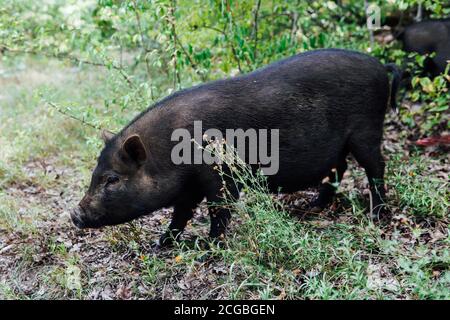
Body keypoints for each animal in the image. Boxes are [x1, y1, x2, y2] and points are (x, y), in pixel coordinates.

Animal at [73, 48, 400, 246]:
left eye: (112, 179)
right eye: (95, 174)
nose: (75, 215)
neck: (167, 152)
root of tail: (380, 66)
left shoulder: (219, 176)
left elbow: (220, 209)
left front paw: (209, 245)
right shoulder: (190, 185)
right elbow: (180, 213)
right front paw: (163, 243)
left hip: (366, 129)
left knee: (376, 166)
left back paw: (376, 215)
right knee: (339, 168)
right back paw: (313, 207)